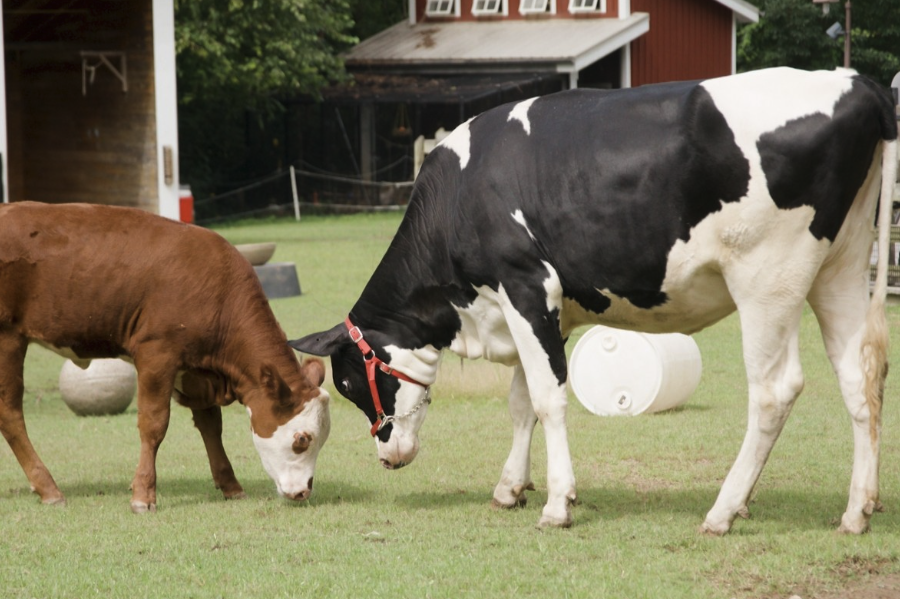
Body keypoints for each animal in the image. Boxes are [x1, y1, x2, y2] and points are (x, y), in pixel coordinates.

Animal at [0, 202, 330, 510]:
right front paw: (143, 495)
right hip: (8, 338)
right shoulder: (156, 354)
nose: (303, 492)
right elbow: (154, 424)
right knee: (11, 413)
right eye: (302, 440)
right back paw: (49, 489)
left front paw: (230, 485)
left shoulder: (195, 370)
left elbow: (211, 426)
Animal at [292, 69, 896, 536]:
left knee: (775, 391)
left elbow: (547, 400)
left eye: (348, 383)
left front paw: (558, 504)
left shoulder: (525, 285)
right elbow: (521, 401)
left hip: (767, 278)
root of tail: (855, 81)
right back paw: (856, 512)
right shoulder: (542, 312)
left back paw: (724, 511)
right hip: (841, 266)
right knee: (858, 375)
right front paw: (511, 488)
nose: (387, 457)